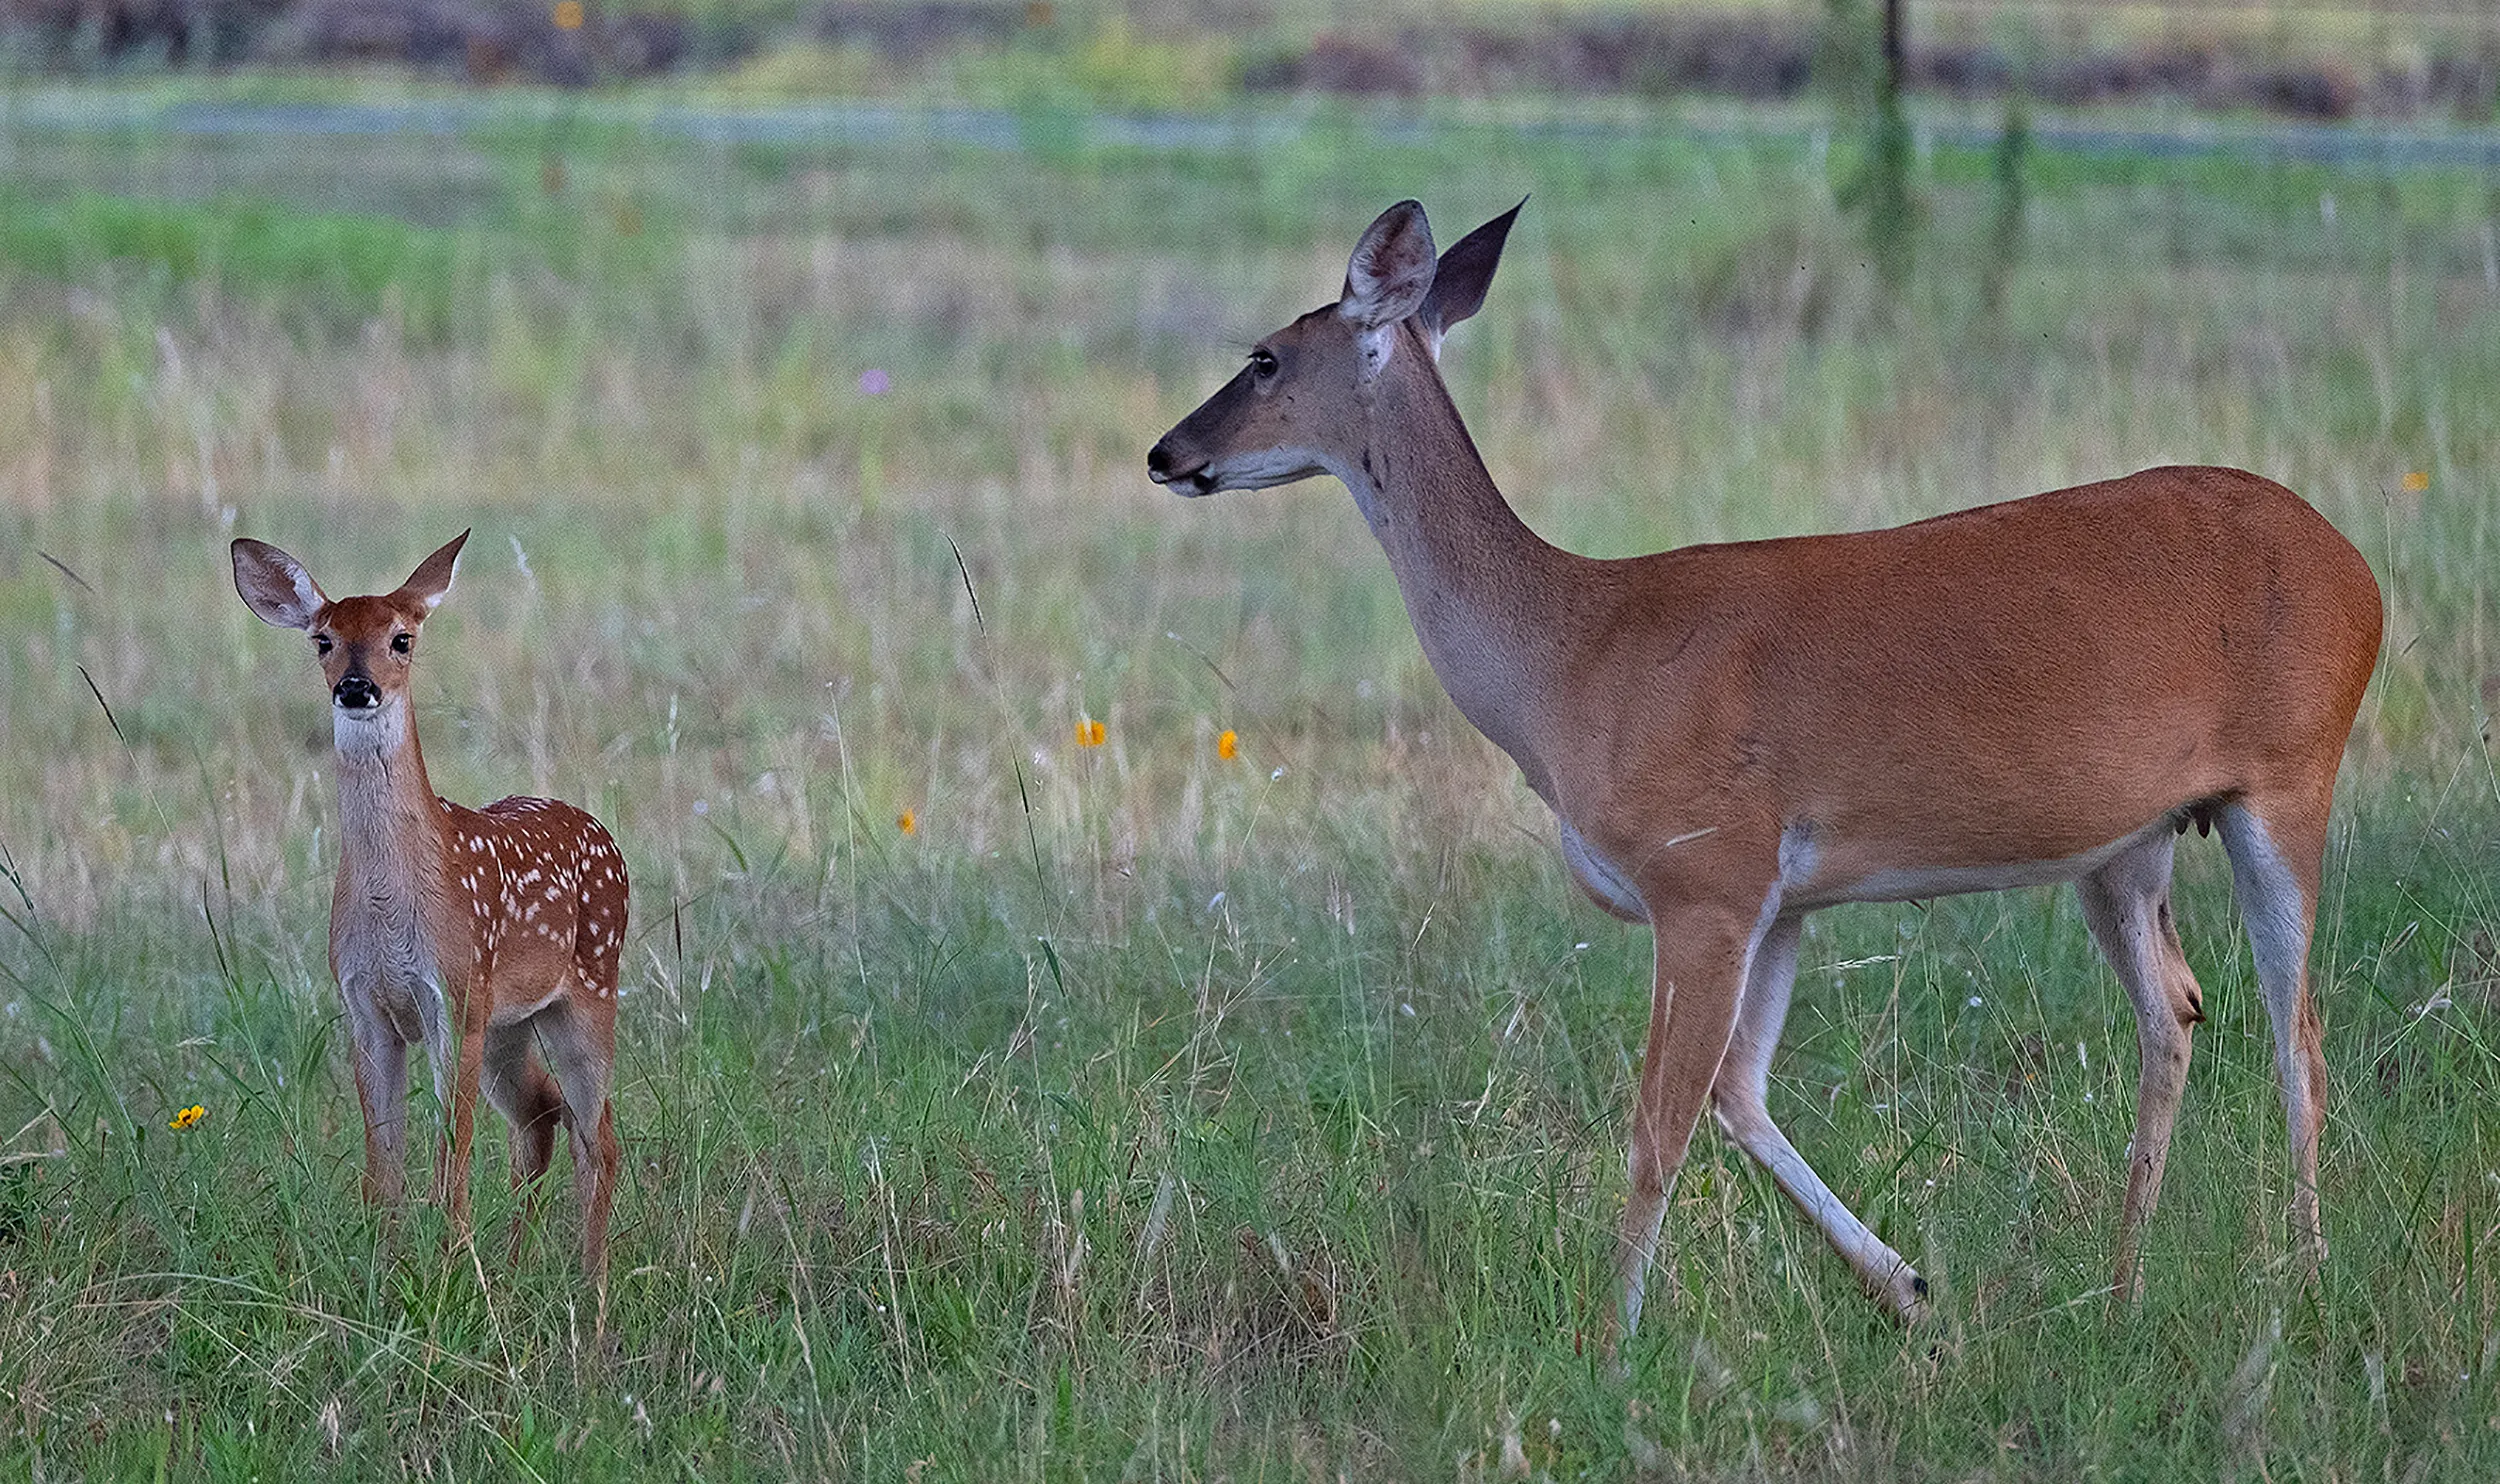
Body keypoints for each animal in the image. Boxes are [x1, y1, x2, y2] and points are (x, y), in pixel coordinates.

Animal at [232, 531, 627, 1279]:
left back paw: (589, 1288)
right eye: (323, 640)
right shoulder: (366, 1008)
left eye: (402, 638)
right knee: (541, 1113)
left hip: (587, 991)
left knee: (600, 1136)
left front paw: (450, 1271)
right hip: (511, 1023)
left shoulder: (455, 997)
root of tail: (601, 831)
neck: (394, 903)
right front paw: (384, 1271)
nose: (357, 687)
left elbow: (452, 1159)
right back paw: (516, 1269)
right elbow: (382, 1168)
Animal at [1147, 200, 2383, 1338]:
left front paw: (1614, 1343)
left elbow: (1659, 1124)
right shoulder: (1781, 898)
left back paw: (2308, 1278)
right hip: (2127, 844)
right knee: (2176, 1009)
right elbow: (1739, 1098)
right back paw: (2120, 1287)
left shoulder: (1707, 874)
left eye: (1264, 355)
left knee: (2299, 1035)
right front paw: (1910, 1291)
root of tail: (2359, 572)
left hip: (2290, 775)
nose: (1166, 452)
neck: (1571, 659)